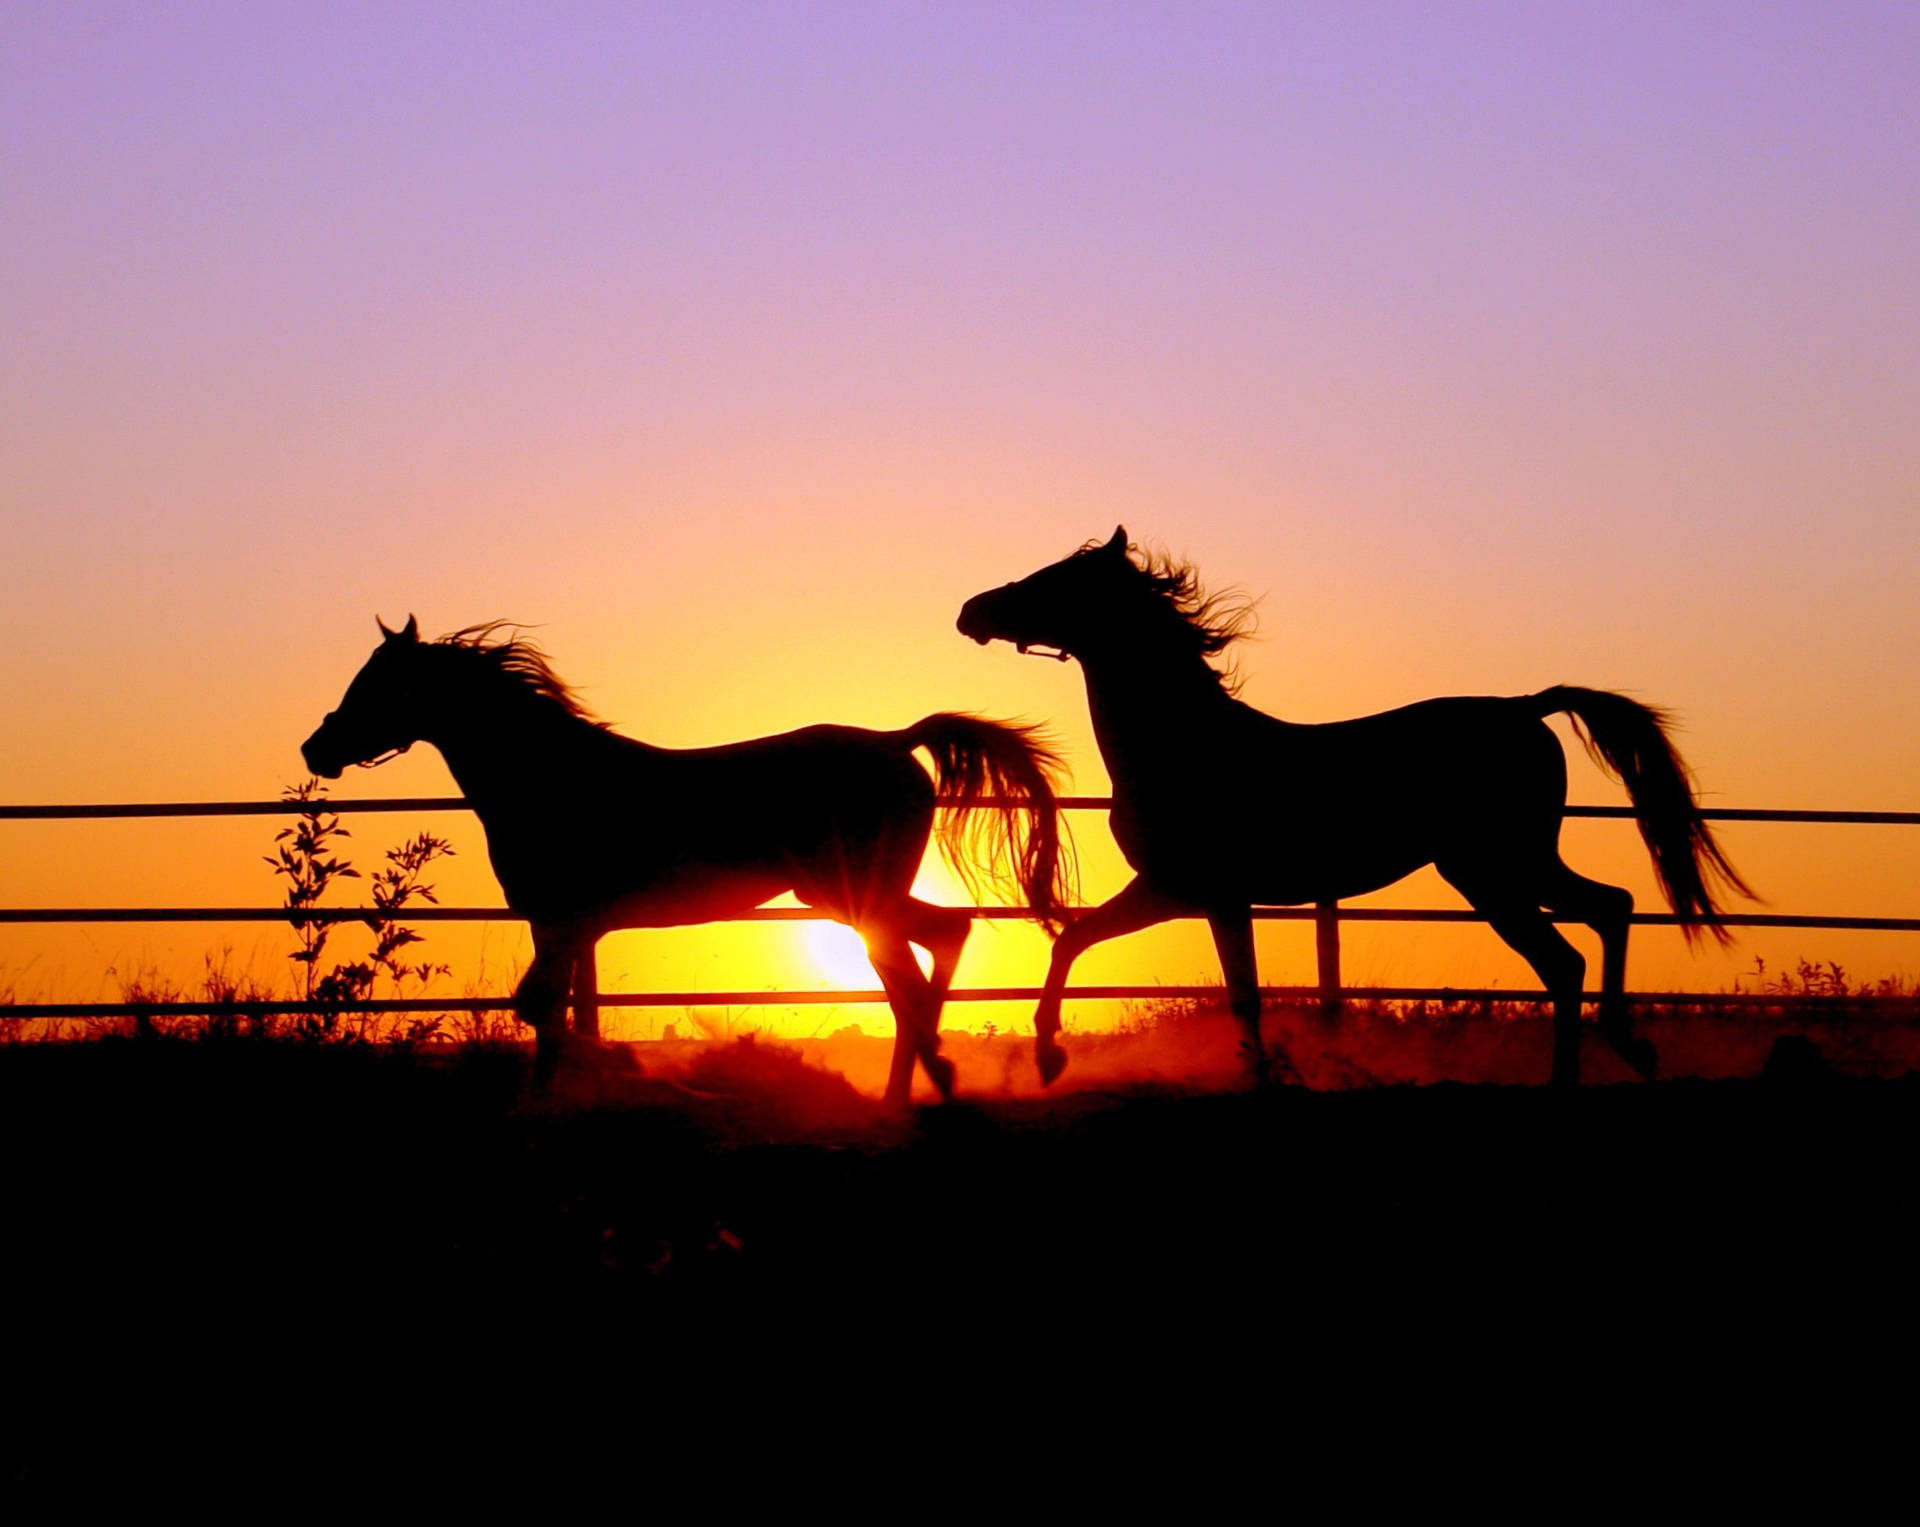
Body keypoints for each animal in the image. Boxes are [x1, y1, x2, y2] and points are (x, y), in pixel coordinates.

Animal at [302, 617, 1072, 1103]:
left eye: (376, 684)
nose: (317, 748)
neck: (549, 775)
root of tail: (894, 741)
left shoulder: (559, 919)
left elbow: (542, 1009)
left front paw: (555, 1097)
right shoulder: (563, 926)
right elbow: (545, 1009)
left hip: (855, 900)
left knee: (914, 973)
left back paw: (927, 1081)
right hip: (853, 899)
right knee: (943, 940)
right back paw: (916, 1084)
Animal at [957, 528, 1754, 1087]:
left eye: (1056, 580)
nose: (972, 609)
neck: (1186, 744)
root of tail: (1524, 707)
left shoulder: (1209, 893)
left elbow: (1242, 993)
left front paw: (1263, 1078)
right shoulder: (1169, 890)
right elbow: (1073, 941)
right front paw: (1050, 1055)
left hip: (1492, 870)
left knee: (1566, 955)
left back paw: (1572, 1075)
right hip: (1516, 863)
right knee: (1609, 910)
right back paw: (1628, 1047)